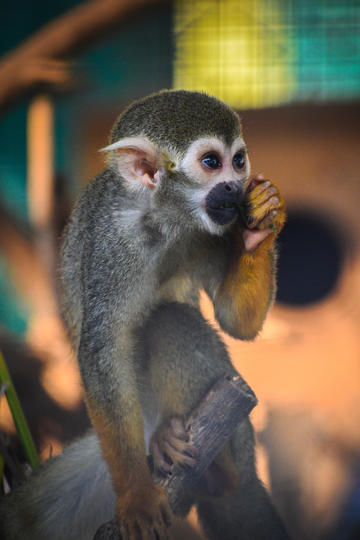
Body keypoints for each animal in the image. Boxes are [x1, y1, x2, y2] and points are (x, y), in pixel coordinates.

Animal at [0, 90, 286, 536]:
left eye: (239, 161)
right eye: (211, 162)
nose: (235, 186)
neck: (164, 218)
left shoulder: (218, 227)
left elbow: (236, 322)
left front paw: (259, 225)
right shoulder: (115, 241)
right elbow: (104, 347)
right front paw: (136, 494)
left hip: (240, 435)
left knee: (170, 321)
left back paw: (220, 475)